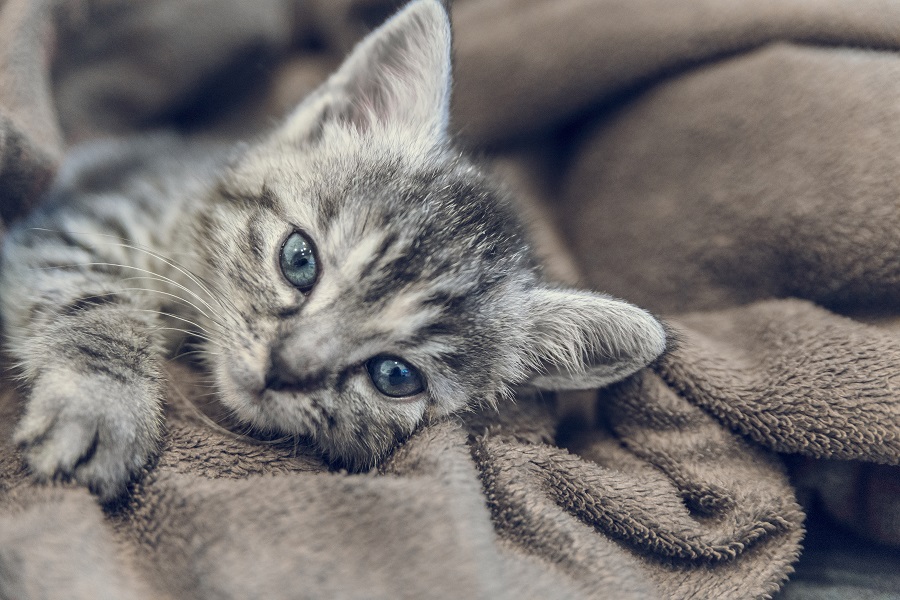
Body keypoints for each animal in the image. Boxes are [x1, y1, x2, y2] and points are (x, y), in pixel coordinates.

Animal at [0, 0, 660, 502]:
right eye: (299, 260)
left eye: (395, 375)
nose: (282, 371)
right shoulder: (81, 219)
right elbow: (95, 302)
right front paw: (101, 408)